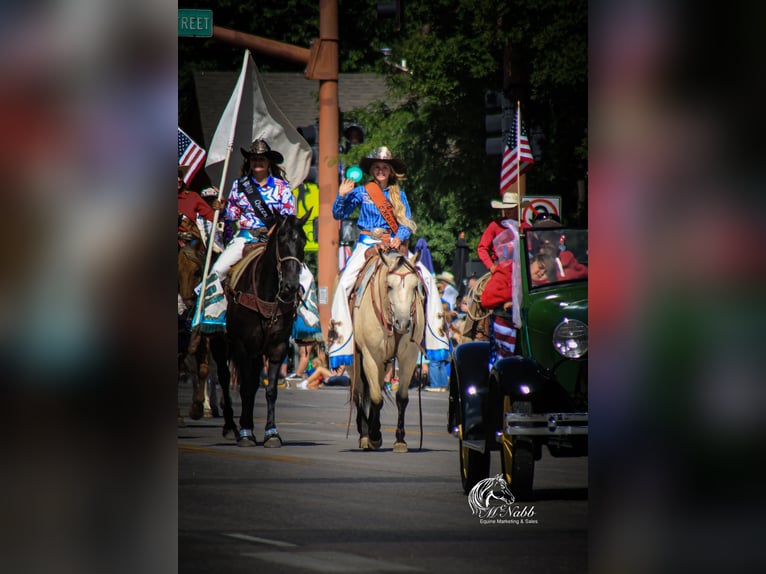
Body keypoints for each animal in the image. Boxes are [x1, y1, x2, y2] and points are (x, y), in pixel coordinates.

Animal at [226, 212, 310, 450]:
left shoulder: (277, 347)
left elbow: (270, 390)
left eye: (303, 241)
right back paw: (231, 427)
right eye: (281, 239)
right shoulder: (243, 347)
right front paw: (246, 433)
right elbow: (245, 388)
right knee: (224, 380)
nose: (291, 286)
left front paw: (271, 433)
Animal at [352, 251, 426, 454]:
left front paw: (400, 440)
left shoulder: (409, 357)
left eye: (415, 287)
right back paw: (364, 435)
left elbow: (401, 398)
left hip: (383, 364)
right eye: (390, 286)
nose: (403, 323)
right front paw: (373, 437)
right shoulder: (370, 357)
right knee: (359, 392)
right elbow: (376, 398)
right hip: (358, 360)